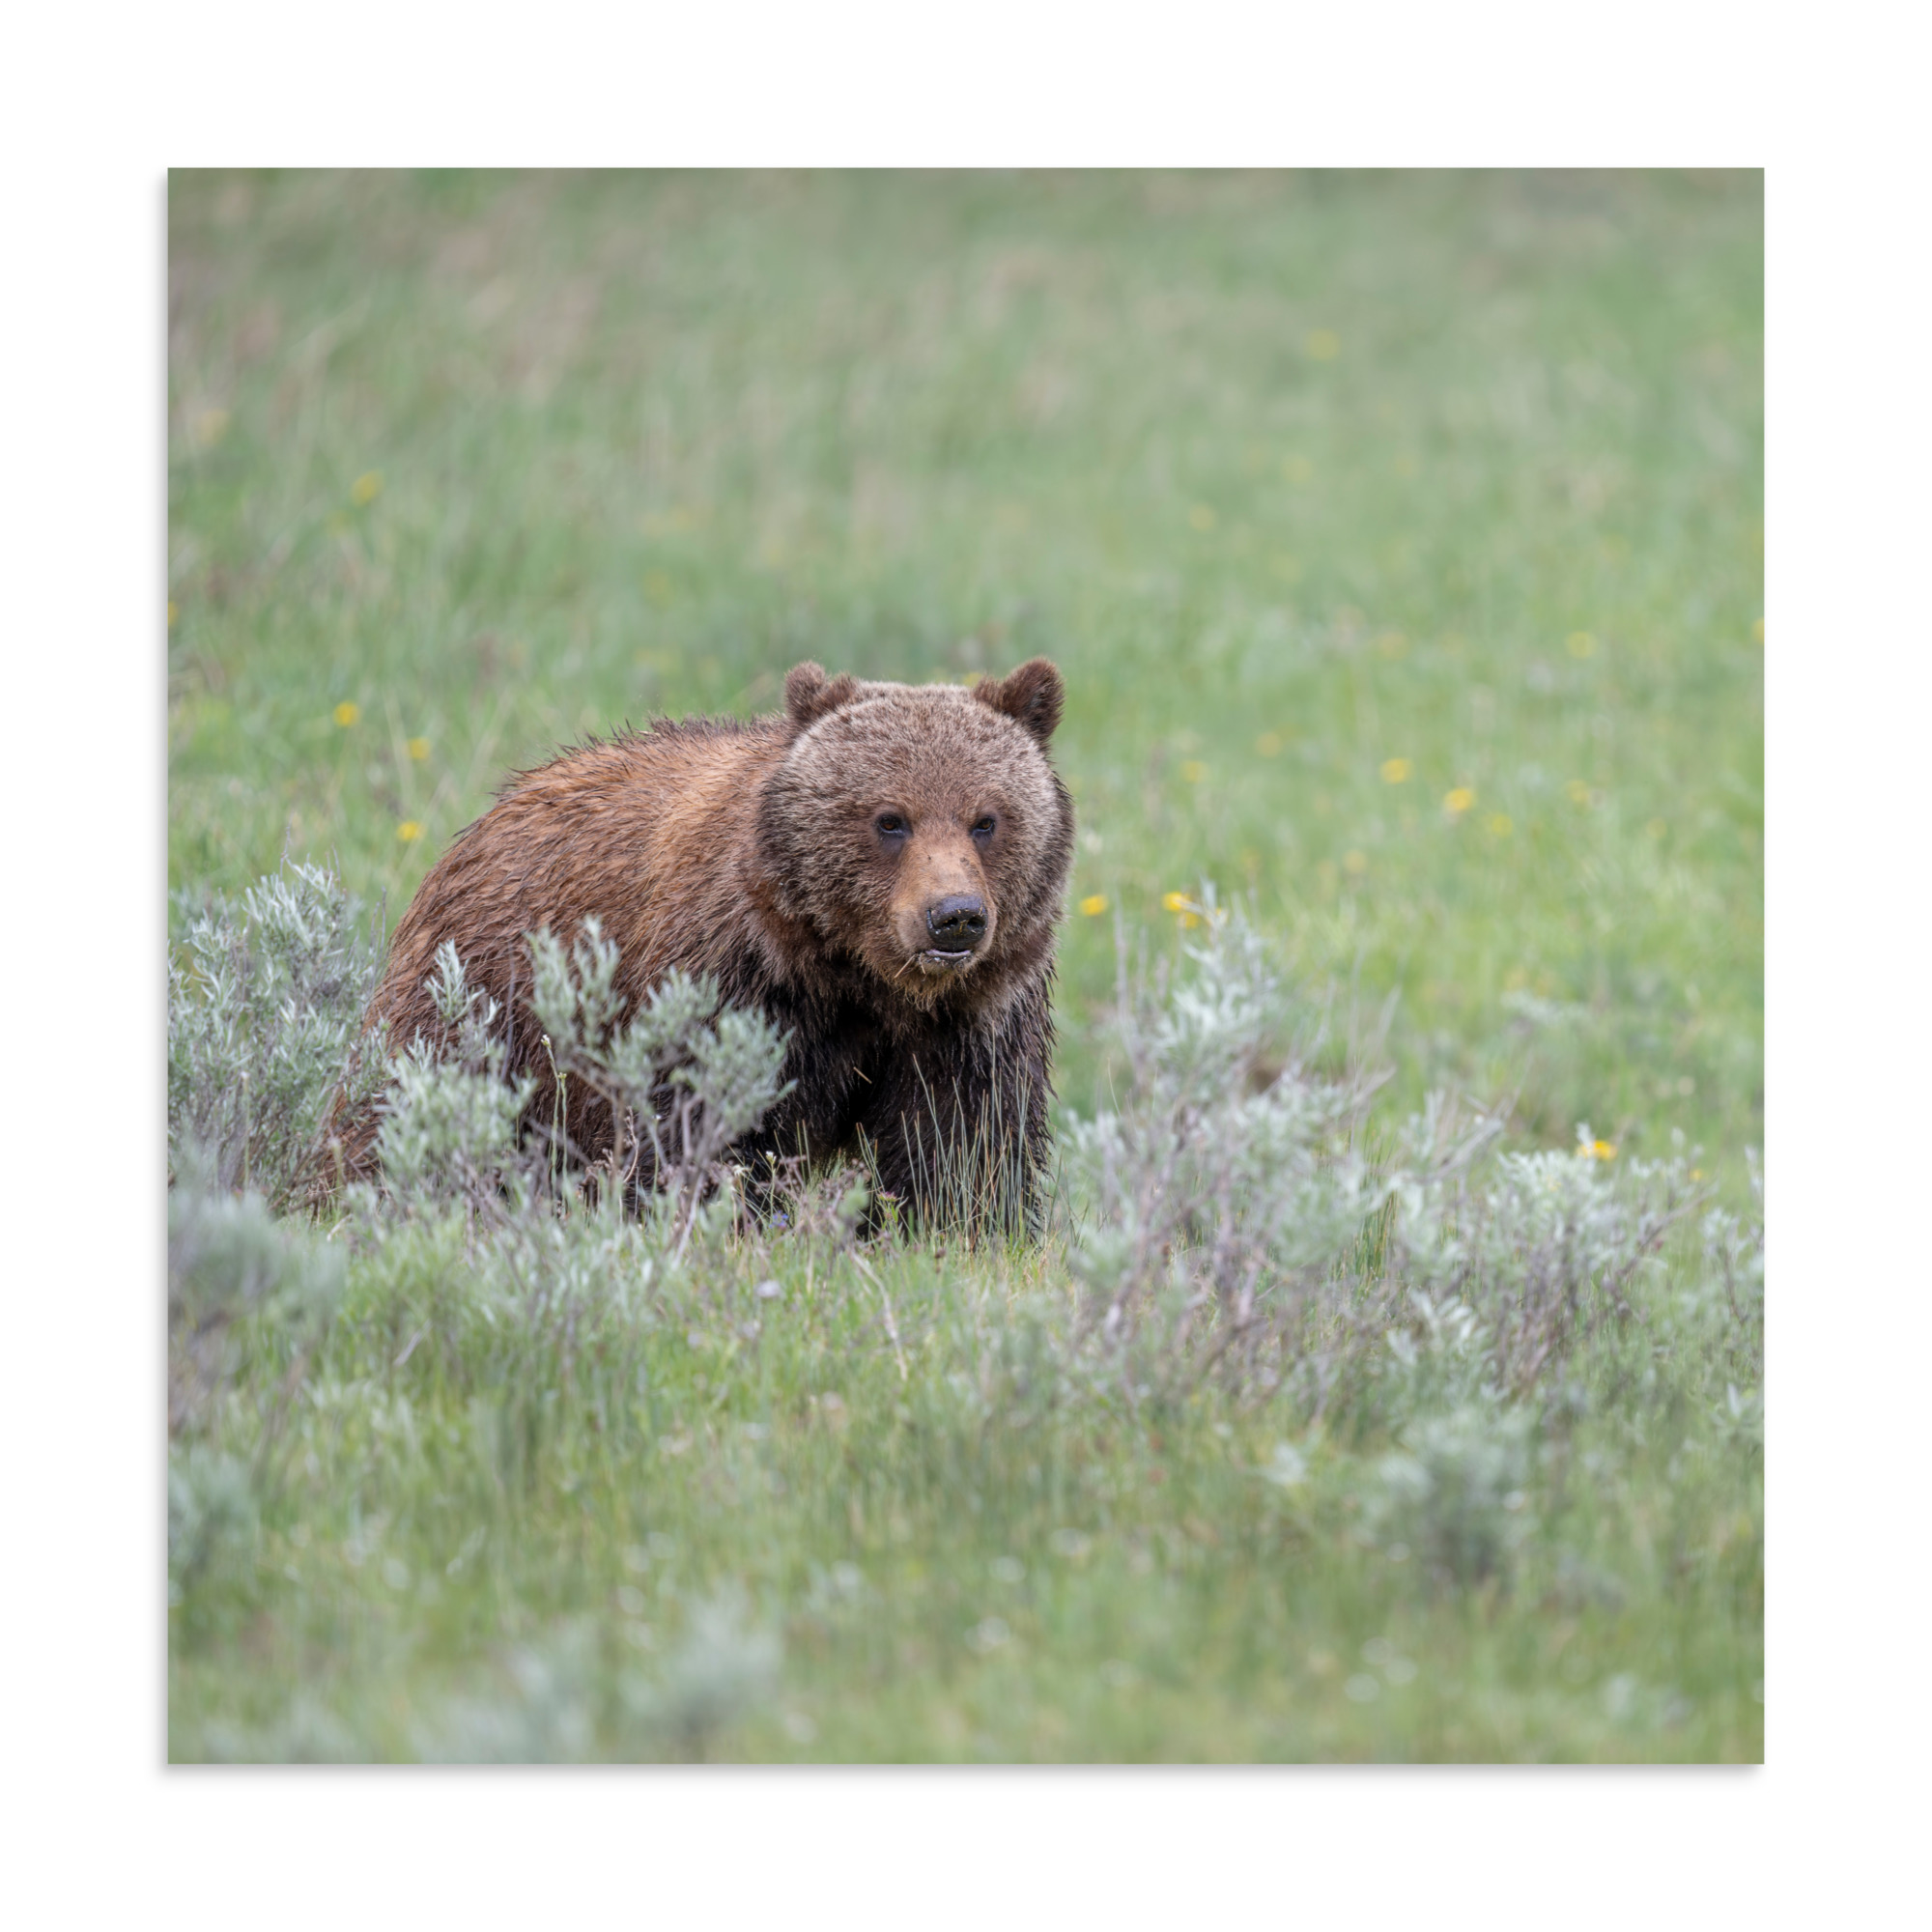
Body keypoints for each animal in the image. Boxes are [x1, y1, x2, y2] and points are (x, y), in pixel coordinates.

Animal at [348, 657, 1074, 1229]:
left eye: (987, 819)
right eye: (890, 819)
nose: (954, 917)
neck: (858, 977)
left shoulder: (971, 1019)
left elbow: (961, 1146)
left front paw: (952, 1229)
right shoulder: (732, 984)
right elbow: (697, 1127)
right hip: (486, 996)